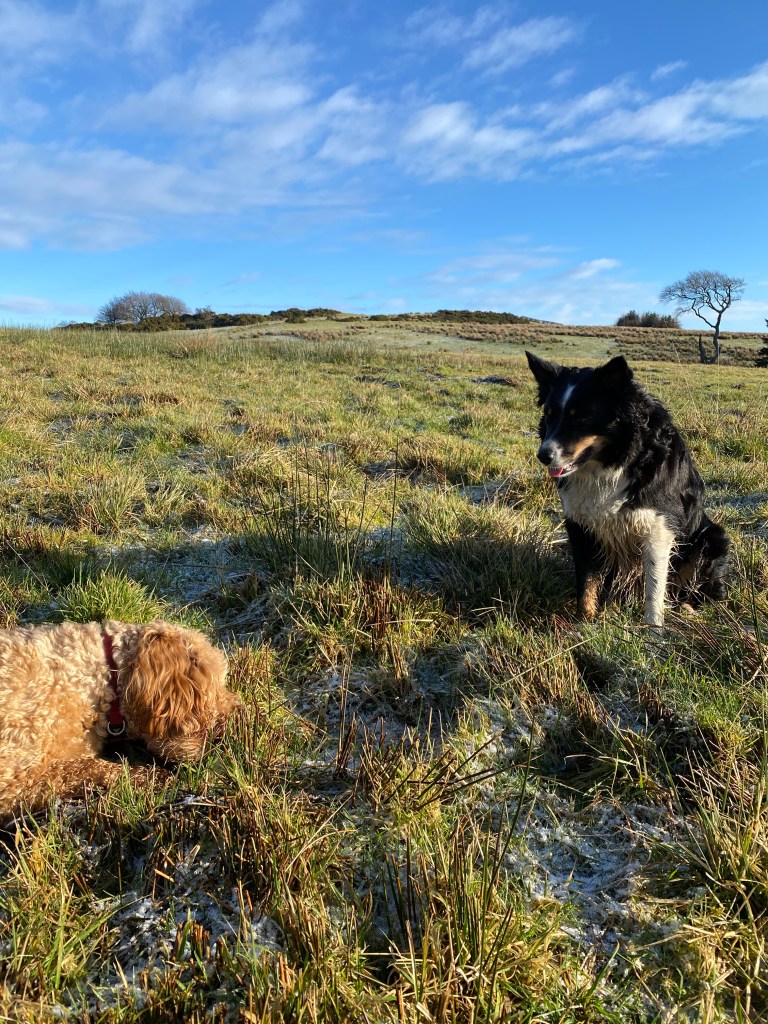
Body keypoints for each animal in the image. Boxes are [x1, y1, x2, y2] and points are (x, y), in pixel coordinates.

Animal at [525, 352, 729, 627]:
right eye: (549, 415)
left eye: (582, 419)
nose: (543, 456)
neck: (614, 461)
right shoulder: (581, 526)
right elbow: (586, 582)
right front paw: (584, 622)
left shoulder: (658, 528)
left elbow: (654, 586)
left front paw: (653, 629)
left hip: (711, 538)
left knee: (700, 588)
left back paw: (687, 607)